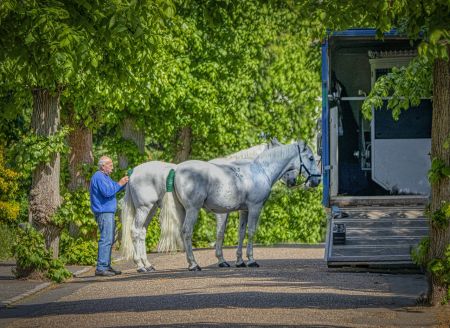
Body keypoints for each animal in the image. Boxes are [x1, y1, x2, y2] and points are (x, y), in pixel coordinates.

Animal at [120, 140, 282, 272]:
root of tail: (133, 172)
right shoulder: (222, 212)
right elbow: (220, 233)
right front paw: (222, 260)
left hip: (151, 209)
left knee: (141, 232)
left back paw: (147, 265)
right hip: (145, 208)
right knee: (136, 231)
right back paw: (142, 266)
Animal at [158, 142, 320, 270]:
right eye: (311, 158)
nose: (317, 180)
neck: (261, 171)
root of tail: (177, 169)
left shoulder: (244, 210)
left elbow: (241, 233)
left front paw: (239, 261)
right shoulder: (255, 208)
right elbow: (251, 231)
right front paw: (251, 260)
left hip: (181, 210)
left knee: (181, 231)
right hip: (193, 209)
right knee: (187, 231)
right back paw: (193, 264)